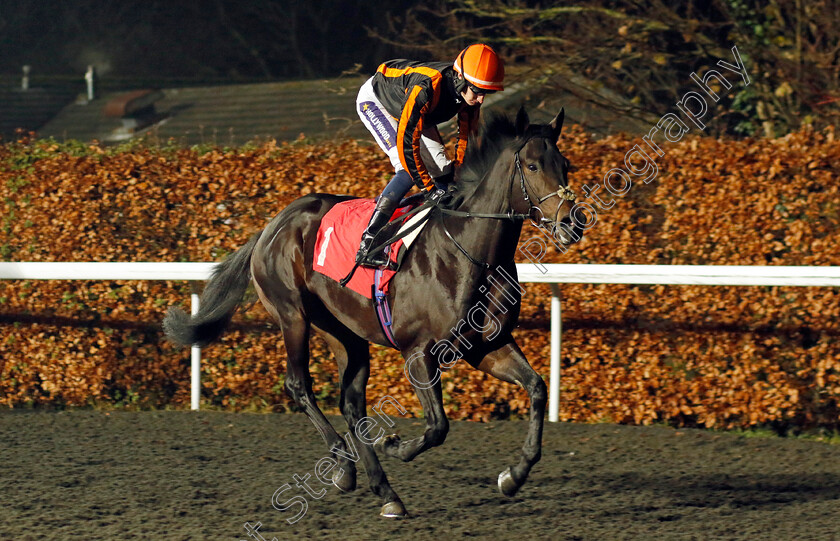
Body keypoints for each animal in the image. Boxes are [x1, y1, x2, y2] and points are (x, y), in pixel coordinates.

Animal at [164, 105, 584, 516]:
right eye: (532, 166)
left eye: (565, 164)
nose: (572, 222)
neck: (469, 251)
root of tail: (273, 225)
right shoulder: (418, 353)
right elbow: (437, 426)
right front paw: (395, 445)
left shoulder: (485, 346)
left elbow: (537, 388)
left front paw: (514, 475)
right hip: (292, 316)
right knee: (300, 386)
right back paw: (343, 467)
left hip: (344, 332)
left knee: (351, 404)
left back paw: (385, 492)